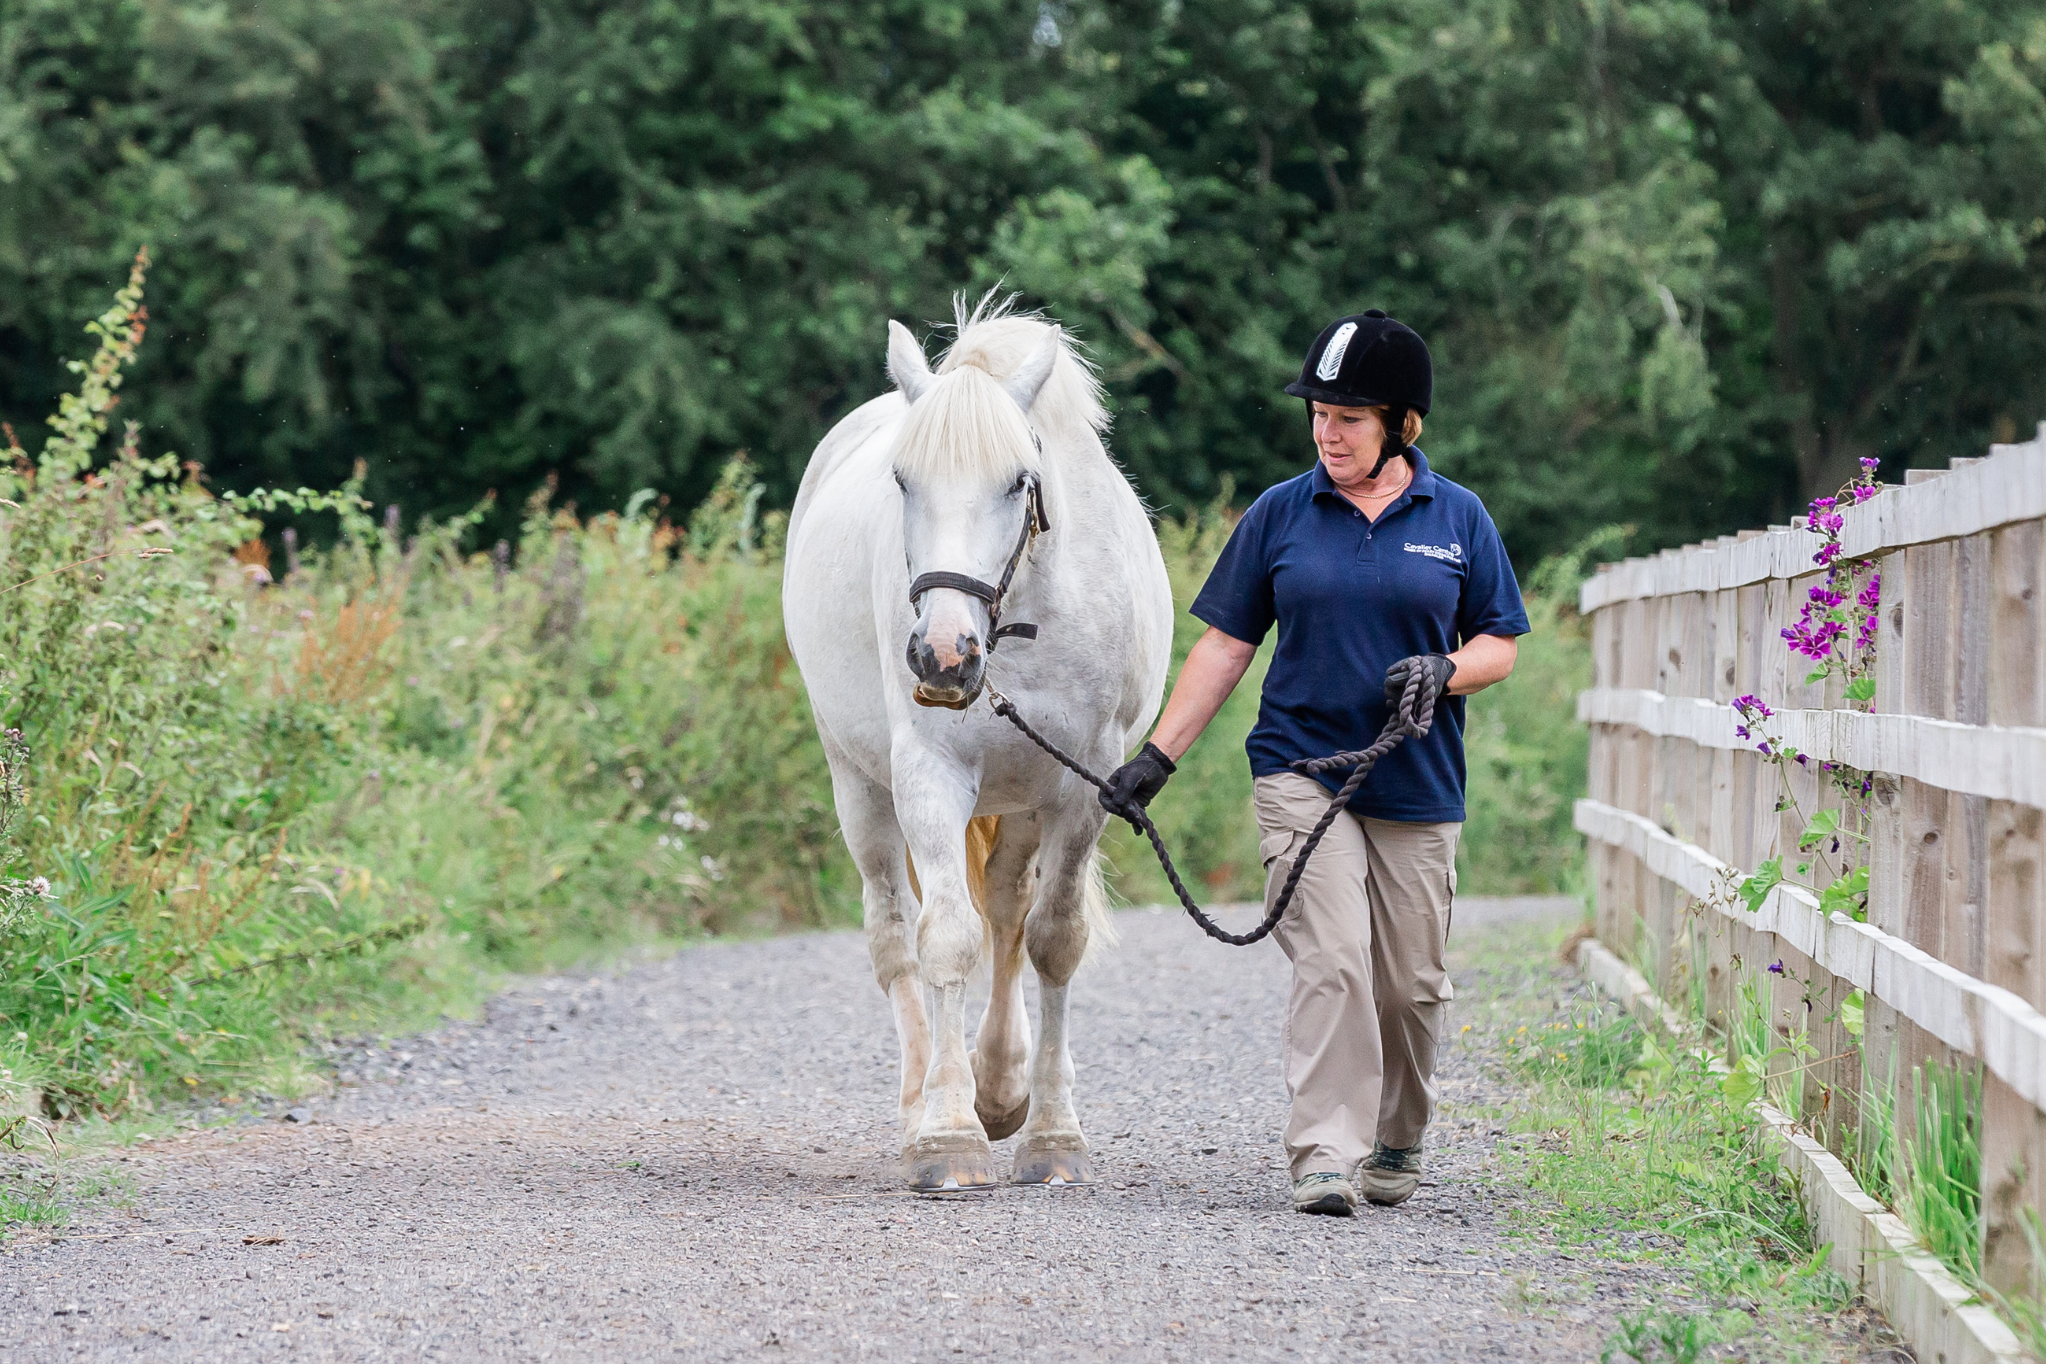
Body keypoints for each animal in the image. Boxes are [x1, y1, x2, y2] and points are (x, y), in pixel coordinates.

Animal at [777, 296, 1170, 1186]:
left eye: (1019, 482)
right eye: (902, 480)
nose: (945, 655)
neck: (1025, 618)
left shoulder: (1084, 786)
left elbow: (1052, 940)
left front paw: (1050, 1133)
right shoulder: (928, 774)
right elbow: (945, 940)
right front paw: (947, 1134)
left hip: (1022, 799)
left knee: (1007, 911)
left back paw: (1000, 1084)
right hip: (860, 785)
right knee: (896, 937)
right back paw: (925, 1095)